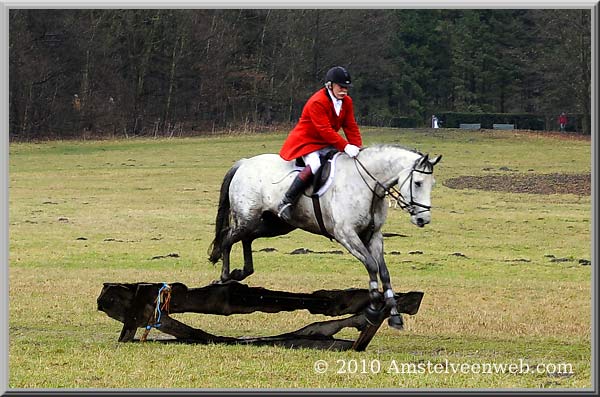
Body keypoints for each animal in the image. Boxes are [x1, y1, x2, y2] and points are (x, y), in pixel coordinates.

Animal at [207, 145, 440, 328]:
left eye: (432, 184)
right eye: (418, 183)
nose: (423, 219)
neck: (366, 185)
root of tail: (244, 163)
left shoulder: (374, 236)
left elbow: (383, 272)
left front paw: (394, 315)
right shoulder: (346, 235)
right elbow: (371, 265)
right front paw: (374, 307)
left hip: (275, 224)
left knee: (247, 238)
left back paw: (241, 271)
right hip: (248, 218)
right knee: (228, 238)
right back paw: (225, 276)